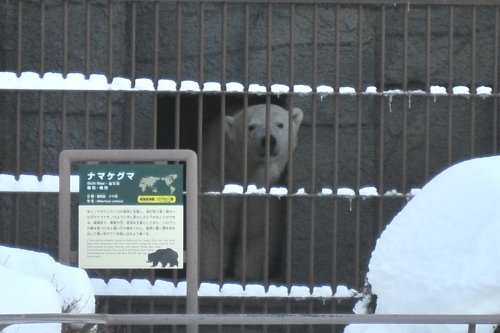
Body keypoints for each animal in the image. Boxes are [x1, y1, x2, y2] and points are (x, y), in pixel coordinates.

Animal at [200, 103, 304, 280]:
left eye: (280, 124)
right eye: (251, 127)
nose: (269, 140)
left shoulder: (265, 194)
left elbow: (256, 235)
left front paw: (246, 278)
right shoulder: (215, 177)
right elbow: (213, 230)